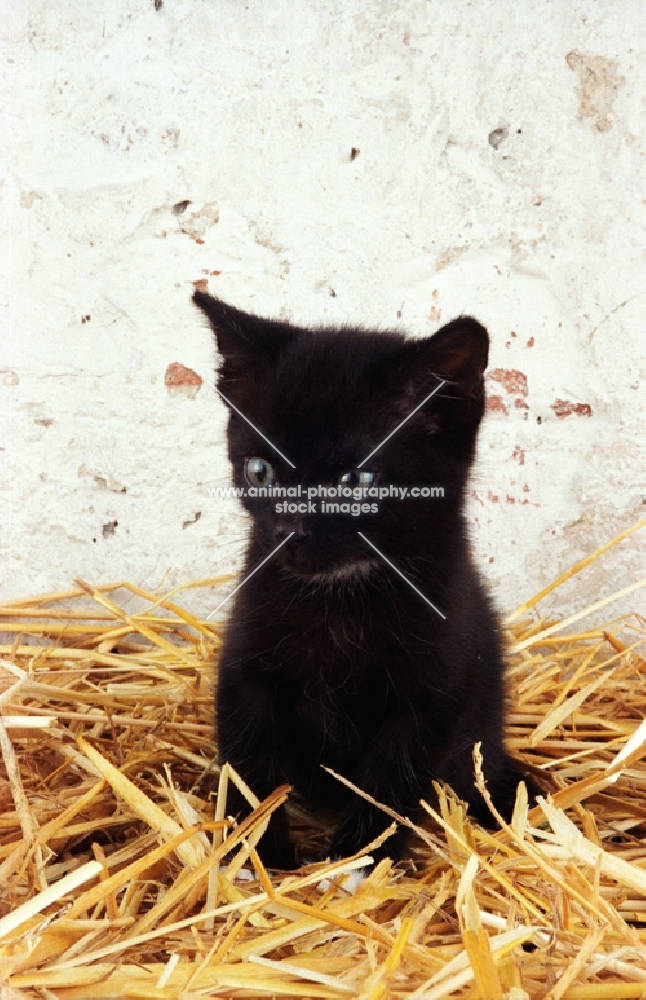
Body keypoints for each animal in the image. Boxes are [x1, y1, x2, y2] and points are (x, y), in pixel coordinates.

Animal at [195, 290, 528, 868]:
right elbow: (251, 767)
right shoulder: (245, 670)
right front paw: (261, 859)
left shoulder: (431, 695)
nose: (289, 530)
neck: (338, 604)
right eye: (260, 471)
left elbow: (389, 784)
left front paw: (354, 862)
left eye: (355, 481)